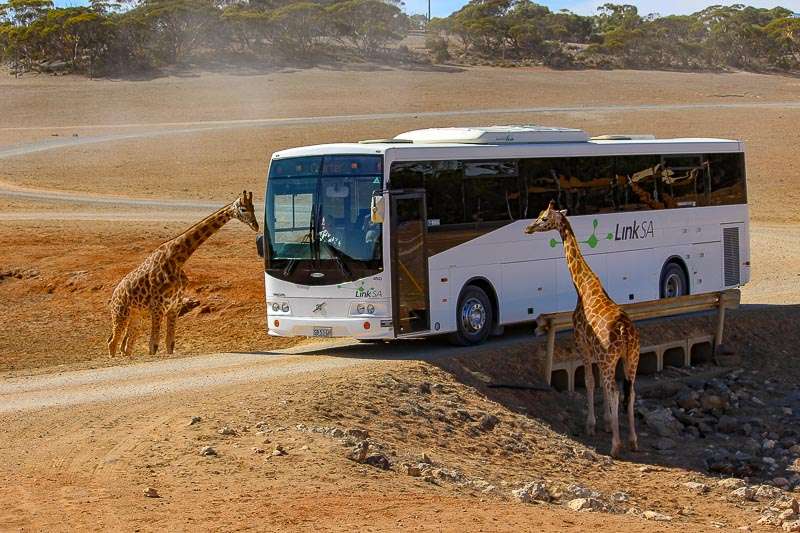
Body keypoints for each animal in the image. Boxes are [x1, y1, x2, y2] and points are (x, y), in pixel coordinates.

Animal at [107, 191, 260, 358]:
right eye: (243, 209)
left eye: (253, 207)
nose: (256, 226)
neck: (177, 259)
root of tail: (114, 295)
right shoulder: (158, 307)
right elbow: (153, 345)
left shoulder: (174, 306)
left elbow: (170, 343)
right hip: (121, 313)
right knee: (112, 342)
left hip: (137, 315)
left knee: (126, 345)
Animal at [520, 201, 640, 458]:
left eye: (543, 218)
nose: (528, 228)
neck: (582, 286)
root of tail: (625, 332)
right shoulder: (597, 352)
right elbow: (599, 383)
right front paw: (607, 422)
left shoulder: (581, 343)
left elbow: (589, 381)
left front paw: (592, 425)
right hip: (631, 357)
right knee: (631, 391)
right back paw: (633, 440)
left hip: (610, 357)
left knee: (615, 391)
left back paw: (616, 446)